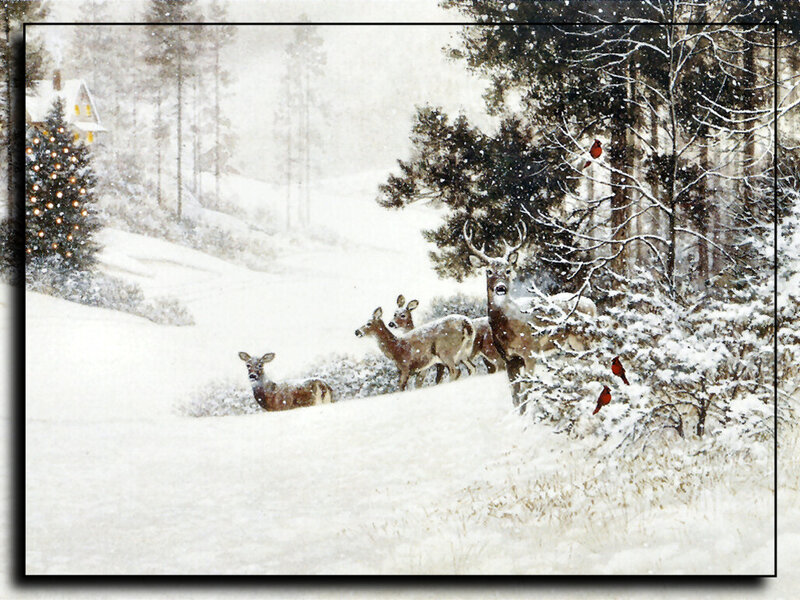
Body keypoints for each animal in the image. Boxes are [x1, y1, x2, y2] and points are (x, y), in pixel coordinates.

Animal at [463, 221, 597, 405]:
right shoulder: (509, 359)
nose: (500, 288)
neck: (506, 330)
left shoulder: (531, 352)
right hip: (572, 344)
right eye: (488, 271)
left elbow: (527, 390)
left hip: (584, 337)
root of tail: (592, 305)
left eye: (508, 270)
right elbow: (515, 395)